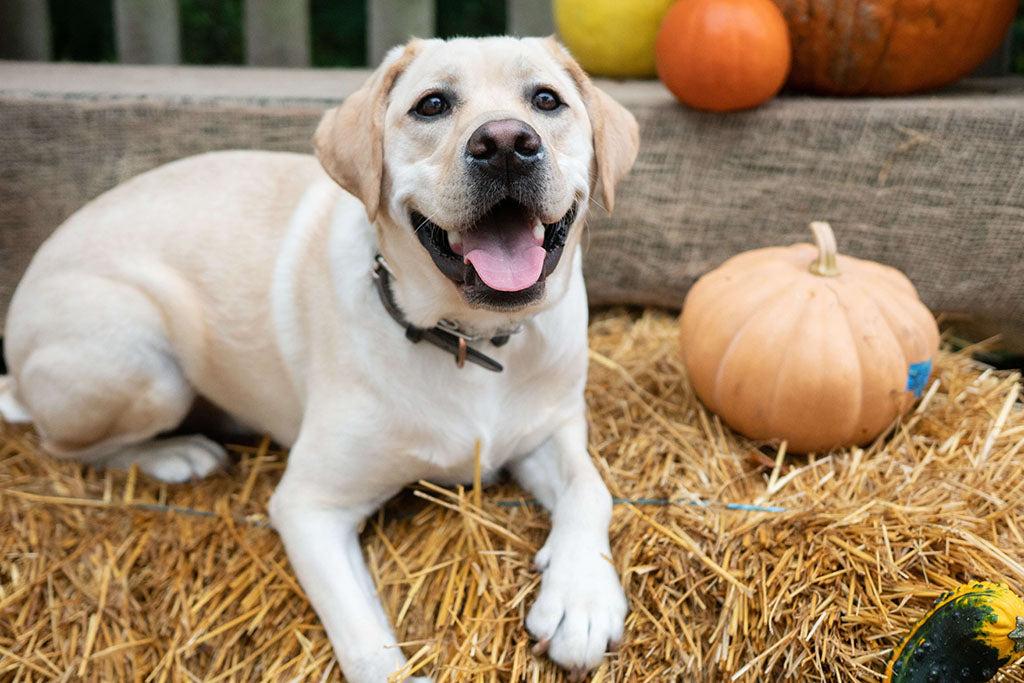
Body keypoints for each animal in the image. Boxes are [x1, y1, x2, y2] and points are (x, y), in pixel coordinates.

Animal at [0, 38, 634, 683]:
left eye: (546, 100)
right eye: (432, 105)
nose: (506, 142)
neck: (468, 338)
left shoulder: (552, 427)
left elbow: (592, 489)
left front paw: (580, 598)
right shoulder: (310, 506)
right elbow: (366, 644)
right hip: (144, 365)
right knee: (69, 446)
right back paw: (175, 454)